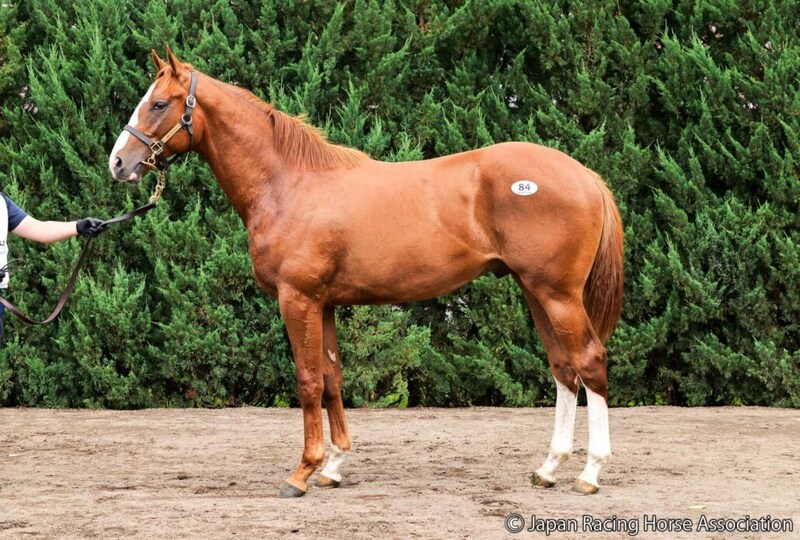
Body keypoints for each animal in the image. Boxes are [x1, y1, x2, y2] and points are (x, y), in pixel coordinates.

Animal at [108, 48, 624, 498]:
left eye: (158, 103)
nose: (118, 162)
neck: (289, 184)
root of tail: (585, 176)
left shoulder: (297, 299)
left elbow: (308, 381)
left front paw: (302, 472)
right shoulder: (324, 304)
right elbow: (333, 378)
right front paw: (334, 467)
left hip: (558, 295)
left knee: (590, 362)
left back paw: (590, 473)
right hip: (536, 292)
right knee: (563, 369)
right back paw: (549, 468)